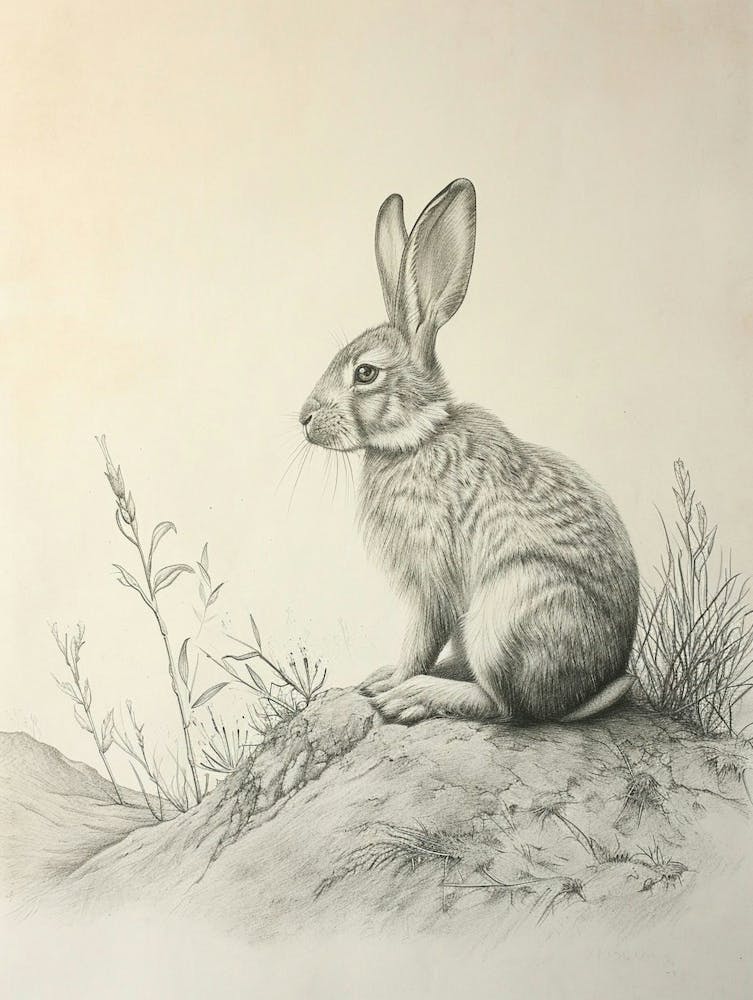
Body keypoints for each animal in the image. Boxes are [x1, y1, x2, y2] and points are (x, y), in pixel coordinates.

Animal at [298, 178, 639, 724]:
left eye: (365, 373)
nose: (304, 419)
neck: (417, 436)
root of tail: (586, 690)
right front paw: (381, 678)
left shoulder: (430, 581)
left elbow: (419, 639)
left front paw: (391, 683)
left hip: (507, 614)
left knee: (506, 706)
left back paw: (414, 696)